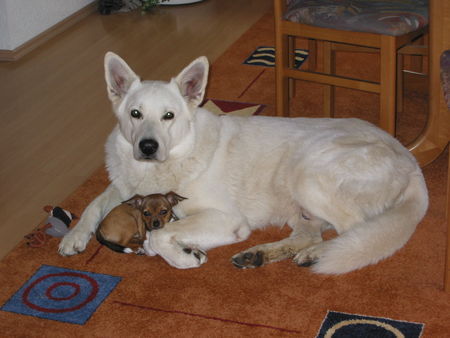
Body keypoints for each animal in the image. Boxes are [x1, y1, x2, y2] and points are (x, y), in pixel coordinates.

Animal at [58, 52, 428, 274]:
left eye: (168, 116)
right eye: (135, 114)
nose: (147, 146)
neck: (160, 167)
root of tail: (409, 159)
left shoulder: (227, 219)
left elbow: (160, 236)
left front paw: (184, 256)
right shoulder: (123, 186)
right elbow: (95, 204)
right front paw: (74, 236)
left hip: (308, 174)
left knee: (353, 231)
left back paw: (318, 256)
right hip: (301, 204)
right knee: (310, 234)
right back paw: (261, 254)